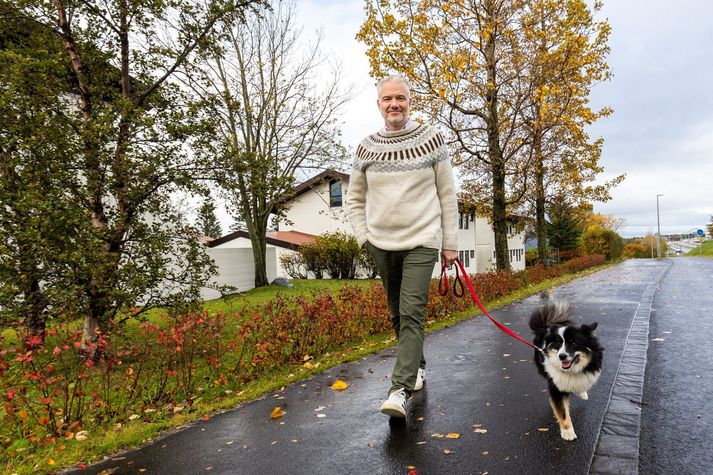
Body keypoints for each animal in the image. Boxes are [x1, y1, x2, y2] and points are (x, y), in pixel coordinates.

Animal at [524, 304, 604, 440]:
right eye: (558, 342)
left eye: (574, 342)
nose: (561, 356)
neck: (572, 370)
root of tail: (545, 326)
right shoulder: (556, 389)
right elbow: (563, 412)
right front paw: (568, 432)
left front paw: (581, 392)